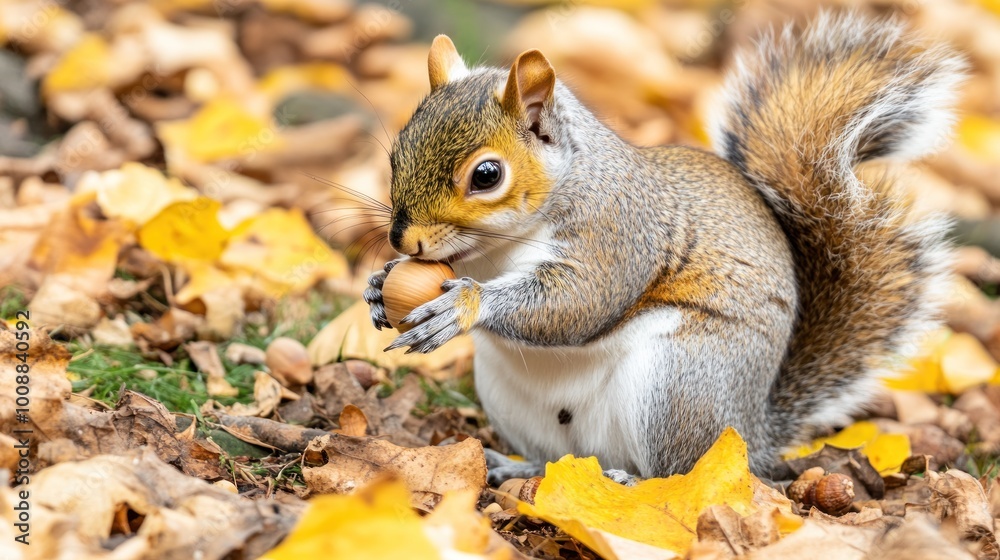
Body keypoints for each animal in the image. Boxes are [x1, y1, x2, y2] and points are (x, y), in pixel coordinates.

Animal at [363, 12, 965, 482]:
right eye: (395, 154)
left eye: (487, 175)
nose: (403, 237)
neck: (501, 247)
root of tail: (750, 431)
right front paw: (379, 284)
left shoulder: (619, 233)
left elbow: (578, 302)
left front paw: (465, 304)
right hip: (512, 397)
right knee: (559, 462)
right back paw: (520, 466)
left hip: (677, 384)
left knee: (681, 472)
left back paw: (632, 482)